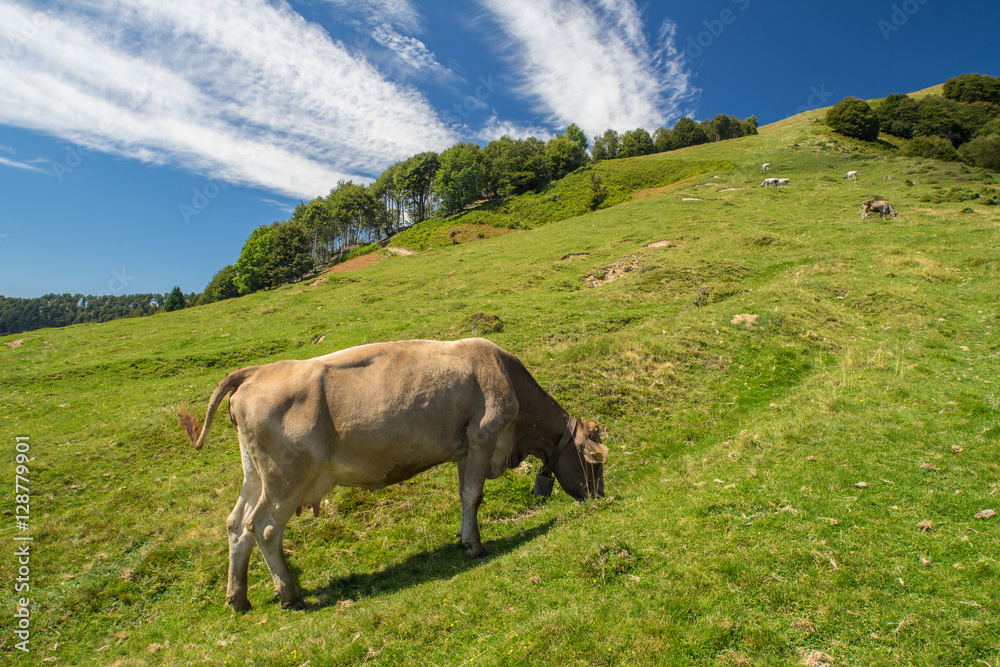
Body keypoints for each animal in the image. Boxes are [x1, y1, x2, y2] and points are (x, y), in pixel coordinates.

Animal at [178, 340, 608, 612]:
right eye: (595, 462)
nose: (600, 498)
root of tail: (256, 372)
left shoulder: (465, 447)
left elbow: (463, 493)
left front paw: (463, 536)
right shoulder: (484, 435)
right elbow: (474, 494)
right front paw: (475, 546)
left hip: (256, 475)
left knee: (237, 525)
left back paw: (238, 598)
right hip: (286, 477)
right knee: (264, 528)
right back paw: (290, 594)